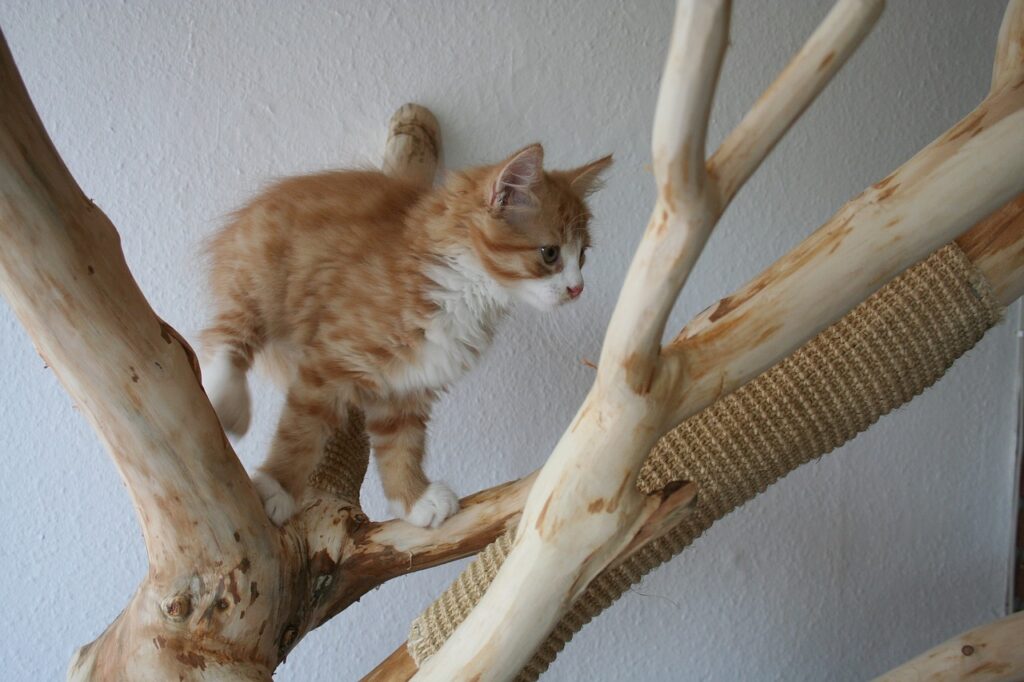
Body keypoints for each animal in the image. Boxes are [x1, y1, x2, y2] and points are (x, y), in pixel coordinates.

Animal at [200, 143, 610, 524]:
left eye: (583, 256)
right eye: (550, 253)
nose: (578, 288)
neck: (463, 290)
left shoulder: (408, 386)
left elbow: (401, 444)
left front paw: (413, 499)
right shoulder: (330, 361)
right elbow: (300, 430)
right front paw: (278, 485)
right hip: (260, 281)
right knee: (225, 336)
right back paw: (227, 397)